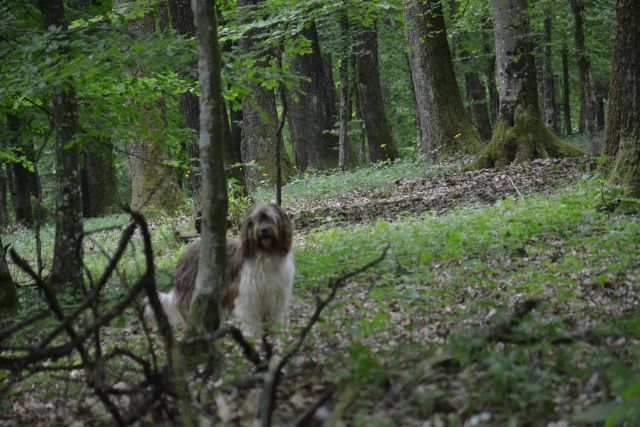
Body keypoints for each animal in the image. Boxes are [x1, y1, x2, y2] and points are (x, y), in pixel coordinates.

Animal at [155, 204, 296, 338]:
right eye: (256, 220)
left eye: (270, 218)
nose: (264, 230)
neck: (265, 254)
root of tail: (183, 256)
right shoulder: (247, 296)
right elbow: (251, 319)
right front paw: (252, 337)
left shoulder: (276, 295)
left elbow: (275, 318)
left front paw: (278, 337)